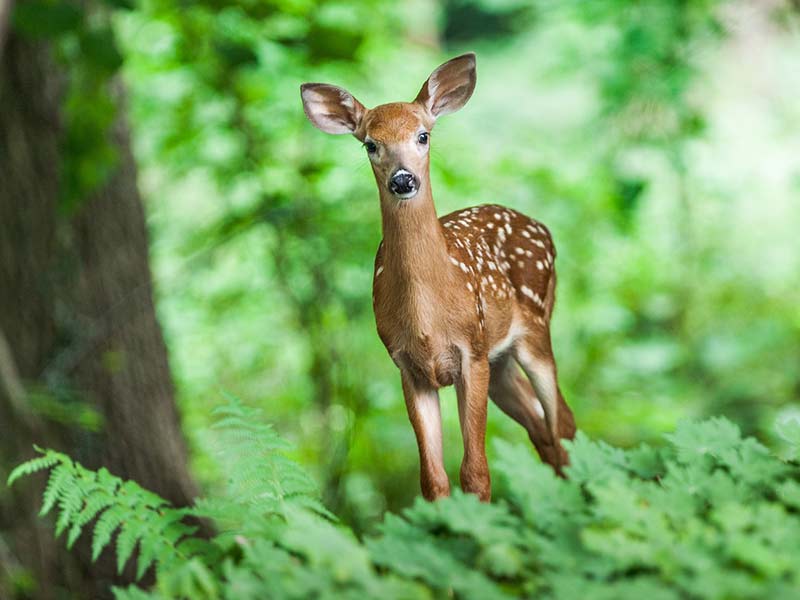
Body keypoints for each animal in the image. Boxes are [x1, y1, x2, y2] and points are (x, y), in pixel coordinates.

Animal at [302, 52, 576, 502]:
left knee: (562, 423)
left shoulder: (471, 351)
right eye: (370, 144)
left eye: (423, 136)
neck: (428, 316)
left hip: (534, 328)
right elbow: (433, 479)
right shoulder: (408, 367)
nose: (402, 179)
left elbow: (476, 472)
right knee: (542, 428)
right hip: (501, 360)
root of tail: (543, 228)